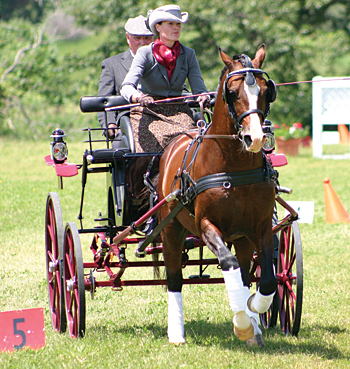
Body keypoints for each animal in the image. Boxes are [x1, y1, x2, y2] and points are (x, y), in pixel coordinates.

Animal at [157, 44, 278, 346]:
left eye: (265, 90)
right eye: (232, 92)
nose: (255, 138)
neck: (234, 167)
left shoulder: (261, 227)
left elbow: (267, 279)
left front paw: (252, 311)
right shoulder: (206, 225)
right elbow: (227, 263)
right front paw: (242, 323)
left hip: (242, 237)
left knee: (246, 272)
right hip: (171, 230)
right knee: (174, 278)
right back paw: (176, 333)